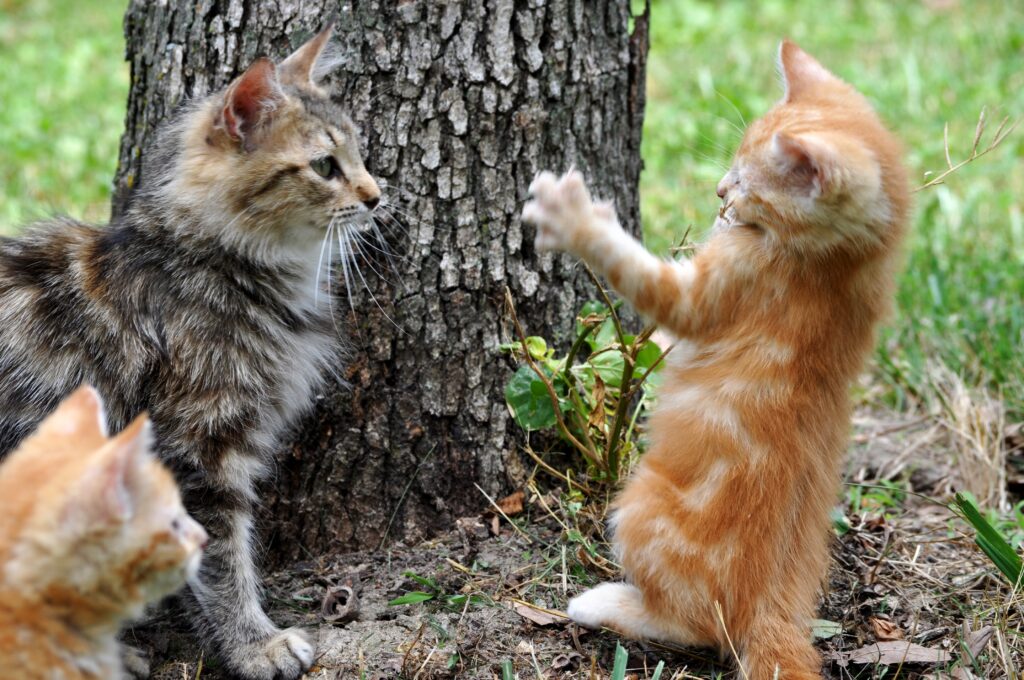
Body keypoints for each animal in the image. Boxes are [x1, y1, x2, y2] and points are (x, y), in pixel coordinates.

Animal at [524, 42, 909, 680]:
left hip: (640, 505)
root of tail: (771, 612)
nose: (720, 194)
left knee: (695, 627)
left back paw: (604, 603)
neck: (844, 267)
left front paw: (574, 220)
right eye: (732, 163)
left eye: (747, 183)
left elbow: (647, 282)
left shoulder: (724, 287)